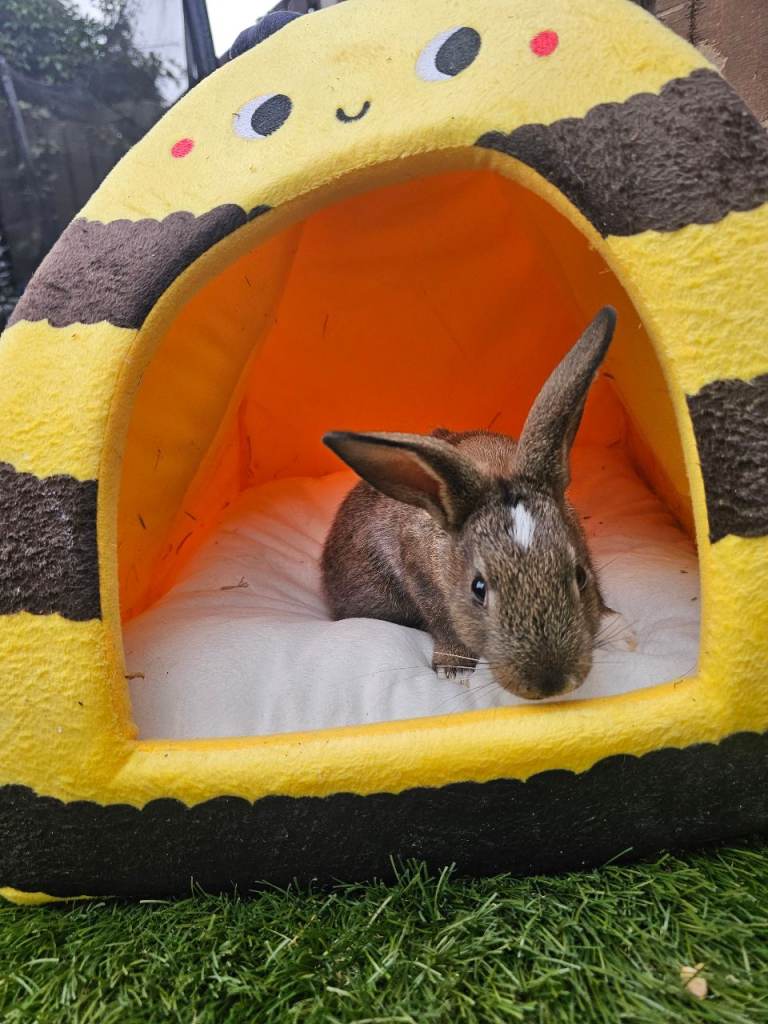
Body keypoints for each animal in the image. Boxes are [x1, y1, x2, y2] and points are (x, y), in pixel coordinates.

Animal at [320, 306, 620, 701]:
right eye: (478, 589)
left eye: (580, 575)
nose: (550, 684)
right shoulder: (420, 577)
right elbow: (444, 621)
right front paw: (454, 669)